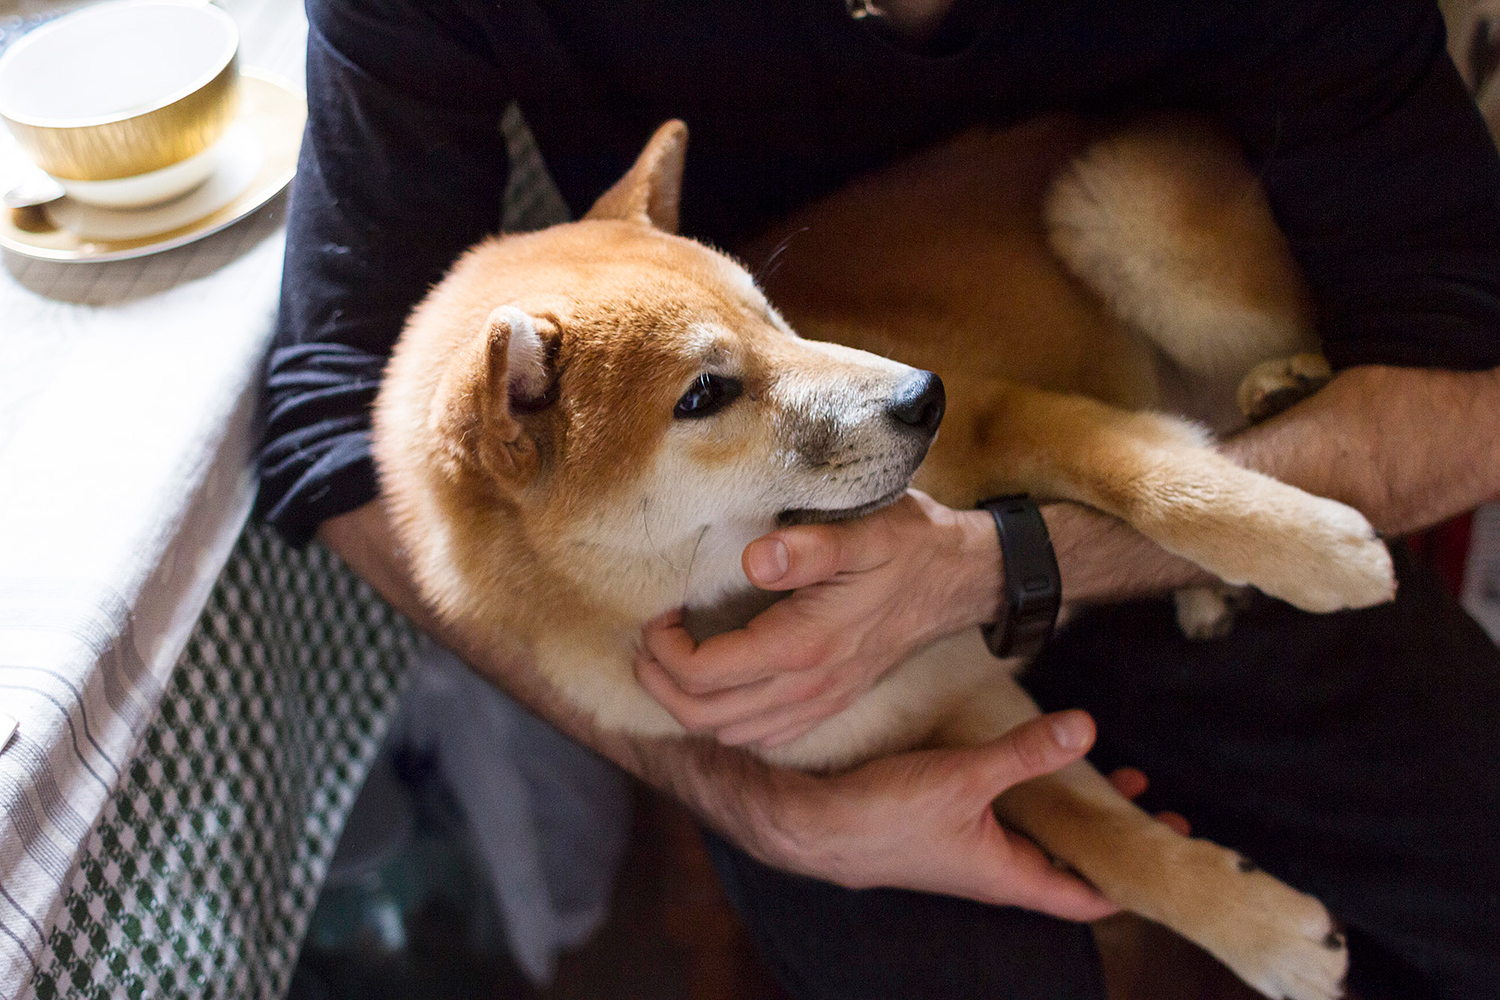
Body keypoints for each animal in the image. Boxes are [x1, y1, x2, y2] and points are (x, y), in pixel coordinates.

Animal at [372, 119, 1392, 1000]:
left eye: (774, 315)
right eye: (703, 394)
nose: (922, 396)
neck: (736, 593)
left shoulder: (1002, 415)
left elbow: (1152, 477)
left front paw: (1317, 551)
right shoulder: (953, 712)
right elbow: (1099, 835)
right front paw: (1264, 932)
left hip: (1112, 208)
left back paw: (1281, 392)